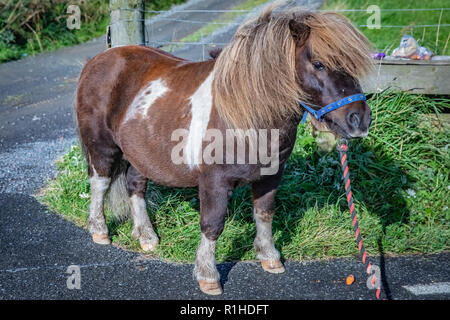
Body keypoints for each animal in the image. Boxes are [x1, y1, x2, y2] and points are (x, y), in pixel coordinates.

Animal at [76, 5, 372, 296]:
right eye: (319, 64)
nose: (360, 120)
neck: (246, 113)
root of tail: (97, 60)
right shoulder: (214, 181)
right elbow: (213, 224)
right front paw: (208, 275)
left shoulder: (271, 176)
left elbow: (264, 213)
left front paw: (269, 257)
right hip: (102, 147)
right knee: (100, 183)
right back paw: (100, 231)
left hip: (140, 155)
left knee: (135, 186)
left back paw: (147, 236)